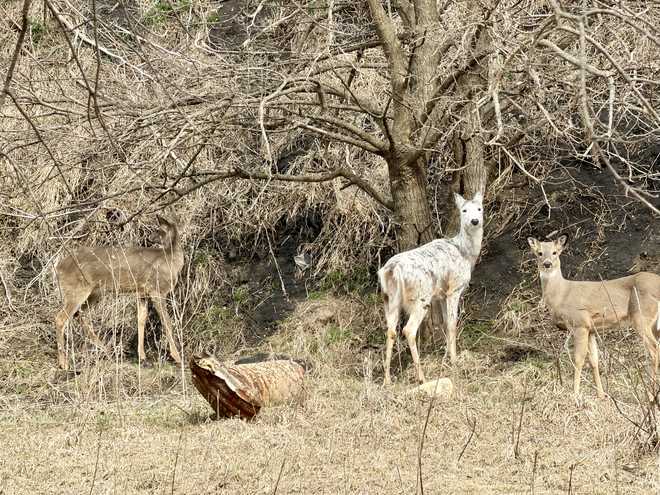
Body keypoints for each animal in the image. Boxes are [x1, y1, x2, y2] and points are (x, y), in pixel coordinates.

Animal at [54, 215, 184, 370]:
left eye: (158, 230)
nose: (150, 237)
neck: (171, 261)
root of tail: (58, 267)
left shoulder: (142, 293)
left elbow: (141, 319)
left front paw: (143, 358)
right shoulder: (157, 290)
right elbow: (167, 322)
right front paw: (177, 357)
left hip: (95, 292)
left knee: (79, 314)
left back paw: (106, 350)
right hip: (76, 289)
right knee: (61, 318)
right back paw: (64, 363)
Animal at [379, 192, 484, 385]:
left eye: (479, 208)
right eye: (464, 210)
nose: (475, 221)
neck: (465, 254)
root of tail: (392, 270)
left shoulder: (441, 295)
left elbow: (444, 324)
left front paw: (447, 356)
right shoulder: (454, 289)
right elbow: (452, 324)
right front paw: (454, 362)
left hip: (389, 299)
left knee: (390, 331)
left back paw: (387, 380)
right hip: (421, 296)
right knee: (408, 330)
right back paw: (421, 377)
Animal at [527, 235, 660, 400]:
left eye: (555, 252)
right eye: (539, 253)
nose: (547, 264)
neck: (561, 294)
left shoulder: (580, 323)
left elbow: (578, 359)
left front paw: (575, 395)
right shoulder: (591, 328)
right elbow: (594, 360)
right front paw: (601, 395)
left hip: (641, 317)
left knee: (654, 349)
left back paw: (651, 394)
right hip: (653, 324)